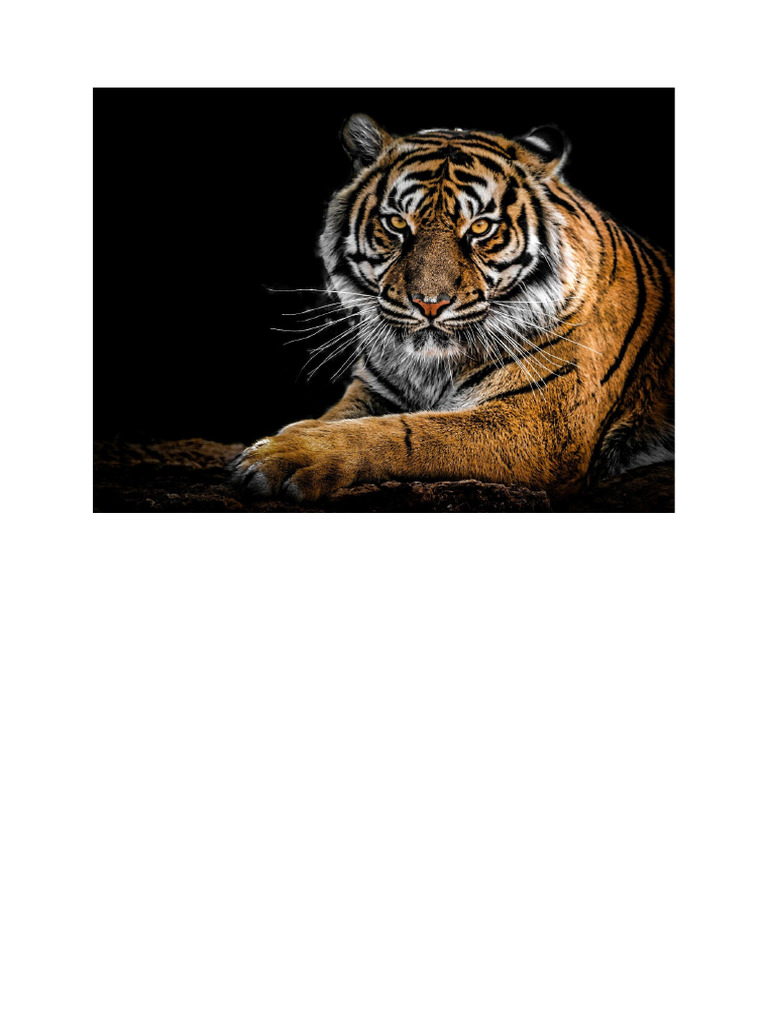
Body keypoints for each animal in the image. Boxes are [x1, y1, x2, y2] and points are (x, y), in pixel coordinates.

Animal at [229, 113, 674, 504]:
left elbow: (405, 434)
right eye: (397, 224)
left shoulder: (541, 424)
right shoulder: (373, 390)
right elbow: (340, 418)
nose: (430, 304)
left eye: (480, 227)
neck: (431, 367)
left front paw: (282, 456)